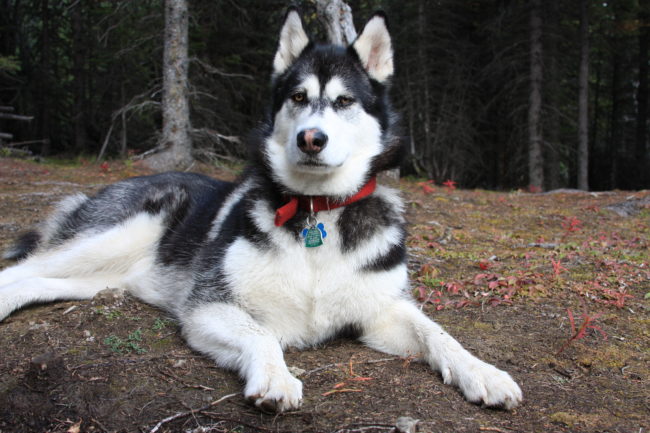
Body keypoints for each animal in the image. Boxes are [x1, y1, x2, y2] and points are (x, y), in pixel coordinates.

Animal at [0, 9, 520, 408]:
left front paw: (483, 372)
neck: (317, 213)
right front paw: (275, 377)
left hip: (98, 277)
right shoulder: (207, 306)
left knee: (35, 281)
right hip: (116, 233)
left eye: (344, 101)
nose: (311, 138)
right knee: (19, 270)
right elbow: (261, 335)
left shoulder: (383, 311)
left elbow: (439, 334)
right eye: (298, 97)